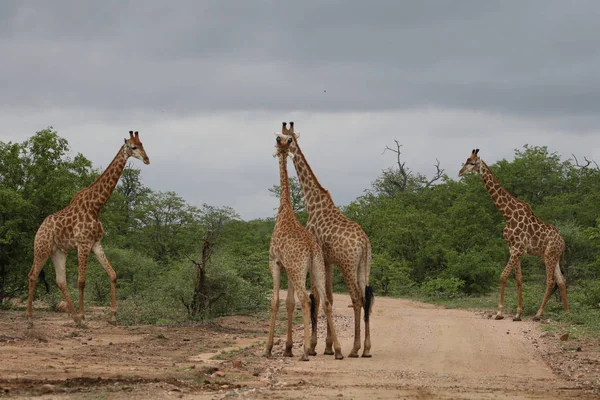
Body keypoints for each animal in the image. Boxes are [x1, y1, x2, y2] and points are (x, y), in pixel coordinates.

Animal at [26, 130, 150, 324]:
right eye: (133, 147)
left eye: (143, 144)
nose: (146, 159)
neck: (95, 206)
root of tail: (40, 228)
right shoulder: (83, 243)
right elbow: (81, 281)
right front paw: (84, 314)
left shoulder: (96, 244)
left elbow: (113, 274)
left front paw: (112, 315)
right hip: (41, 248)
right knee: (32, 276)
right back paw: (31, 318)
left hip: (58, 251)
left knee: (60, 281)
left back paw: (74, 317)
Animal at [264, 122, 344, 362]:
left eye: (279, 138)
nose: (282, 142)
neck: (284, 210)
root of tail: (310, 248)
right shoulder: (289, 267)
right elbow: (289, 303)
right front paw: (288, 348)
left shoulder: (276, 262)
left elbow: (276, 301)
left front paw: (269, 348)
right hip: (316, 266)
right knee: (325, 301)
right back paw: (337, 350)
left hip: (300, 269)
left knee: (306, 299)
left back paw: (307, 352)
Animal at [282, 121, 376, 356]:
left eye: (286, 137)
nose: (281, 146)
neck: (312, 203)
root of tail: (364, 242)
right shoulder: (328, 260)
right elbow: (330, 297)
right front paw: (328, 347)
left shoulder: (321, 258)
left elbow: (317, 298)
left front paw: (315, 346)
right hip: (364, 266)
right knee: (367, 298)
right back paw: (367, 348)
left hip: (348, 264)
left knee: (357, 298)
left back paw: (355, 348)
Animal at [460, 148, 568, 320]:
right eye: (466, 160)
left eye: (472, 163)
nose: (460, 172)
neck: (508, 215)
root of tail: (563, 242)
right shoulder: (513, 249)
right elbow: (519, 279)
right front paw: (517, 314)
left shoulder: (517, 249)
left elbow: (503, 276)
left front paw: (499, 312)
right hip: (554, 256)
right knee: (562, 280)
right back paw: (567, 313)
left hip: (549, 255)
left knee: (551, 281)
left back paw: (538, 314)